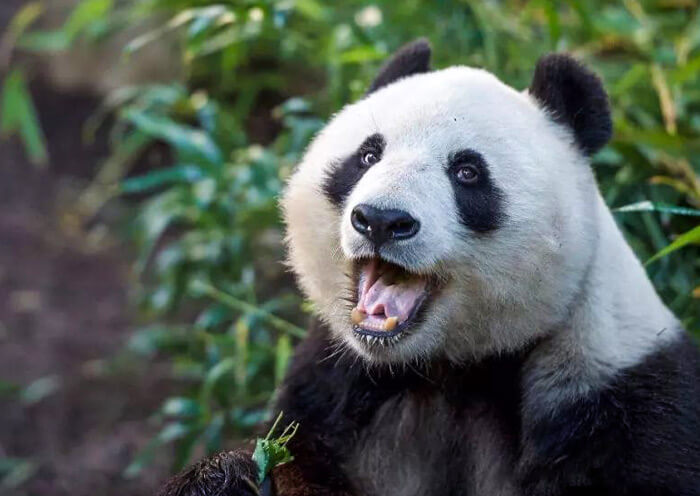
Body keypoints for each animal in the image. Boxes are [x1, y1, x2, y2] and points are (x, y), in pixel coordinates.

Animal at [159, 39, 700, 496]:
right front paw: (222, 478)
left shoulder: (616, 400)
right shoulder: (335, 386)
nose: (381, 220)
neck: (446, 365)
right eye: (367, 155)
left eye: (467, 172)